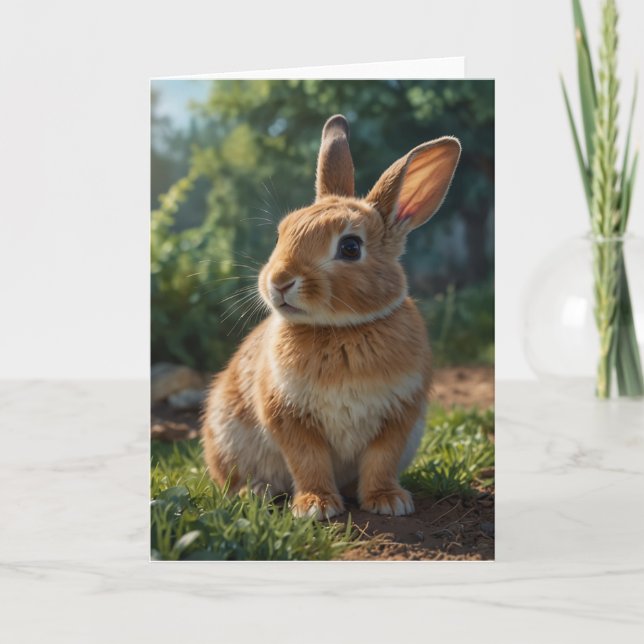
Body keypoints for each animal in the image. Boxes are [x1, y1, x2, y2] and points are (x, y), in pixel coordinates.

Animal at [202, 114, 461, 519]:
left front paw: (388, 501)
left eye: (350, 247)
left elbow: (380, 461)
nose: (278, 281)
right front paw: (316, 506)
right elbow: (308, 461)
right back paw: (253, 493)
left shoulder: (398, 417)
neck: (341, 329)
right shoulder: (289, 417)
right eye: (281, 234)